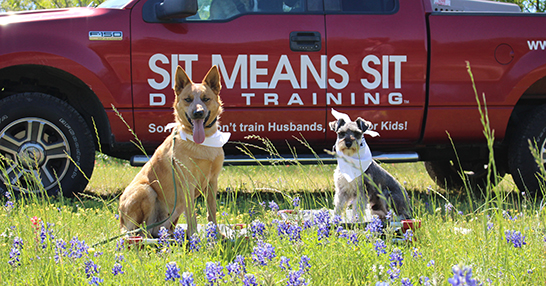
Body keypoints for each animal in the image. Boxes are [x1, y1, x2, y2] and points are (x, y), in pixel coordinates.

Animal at [120, 66, 226, 238]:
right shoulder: (187, 182)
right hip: (146, 190)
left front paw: (215, 232)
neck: (202, 144)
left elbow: (211, 211)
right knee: (139, 230)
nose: (198, 113)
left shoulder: (212, 181)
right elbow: (192, 214)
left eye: (205, 98)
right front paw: (194, 235)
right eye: (188, 99)